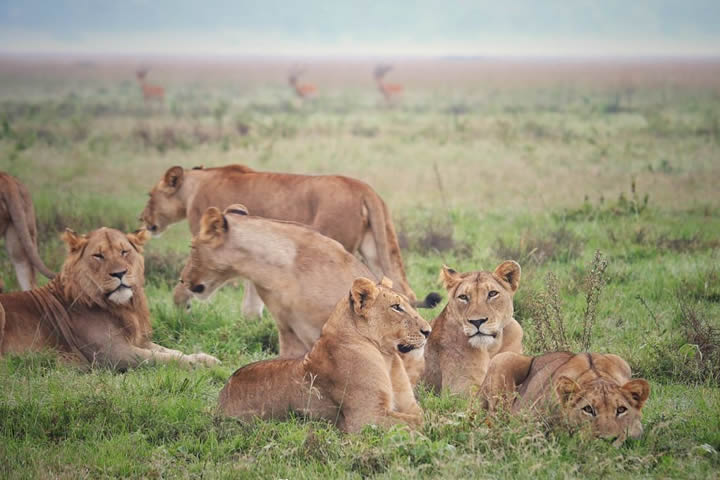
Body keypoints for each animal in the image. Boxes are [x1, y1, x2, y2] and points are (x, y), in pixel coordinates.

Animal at [0, 227, 219, 370]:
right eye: (98, 255)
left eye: (124, 251)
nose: (119, 273)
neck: (124, 307)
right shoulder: (113, 354)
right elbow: (162, 359)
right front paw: (197, 364)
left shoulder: (138, 340)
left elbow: (170, 351)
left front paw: (206, 359)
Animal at [139, 165, 434, 318]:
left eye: (150, 195)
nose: (141, 219)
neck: (193, 186)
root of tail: (364, 188)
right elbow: (251, 290)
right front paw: (252, 319)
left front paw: (181, 306)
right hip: (375, 247)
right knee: (401, 291)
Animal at [217, 276, 430, 434]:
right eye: (396, 307)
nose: (428, 331)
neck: (387, 358)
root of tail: (220, 398)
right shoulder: (366, 417)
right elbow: (419, 422)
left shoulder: (408, 404)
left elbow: (426, 414)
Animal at [480, 348, 648, 446]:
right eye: (588, 409)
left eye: (621, 410)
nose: (608, 440)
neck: (596, 376)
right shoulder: (526, 422)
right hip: (503, 358)